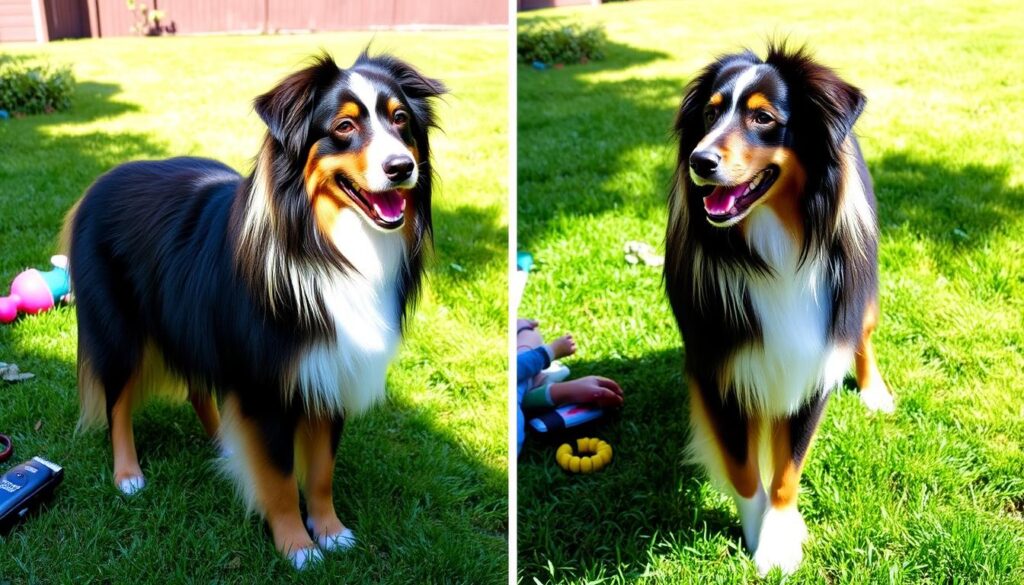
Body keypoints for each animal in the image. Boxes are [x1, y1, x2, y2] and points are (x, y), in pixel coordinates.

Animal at [65, 51, 444, 569]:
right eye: (344, 126)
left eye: (401, 118)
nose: (402, 167)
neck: (324, 244)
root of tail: (100, 182)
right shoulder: (267, 386)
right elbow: (280, 478)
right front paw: (297, 546)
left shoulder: (331, 370)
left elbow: (321, 470)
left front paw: (330, 531)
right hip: (118, 330)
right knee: (117, 402)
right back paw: (127, 474)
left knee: (198, 387)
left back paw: (223, 443)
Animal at [663, 43, 897, 573]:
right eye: (710, 114)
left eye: (763, 118)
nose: (700, 160)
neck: (776, 247)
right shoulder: (720, 367)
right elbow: (744, 469)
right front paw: (757, 535)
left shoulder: (815, 361)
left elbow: (789, 466)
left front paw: (780, 538)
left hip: (862, 295)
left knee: (865, 335)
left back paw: (874, 390)